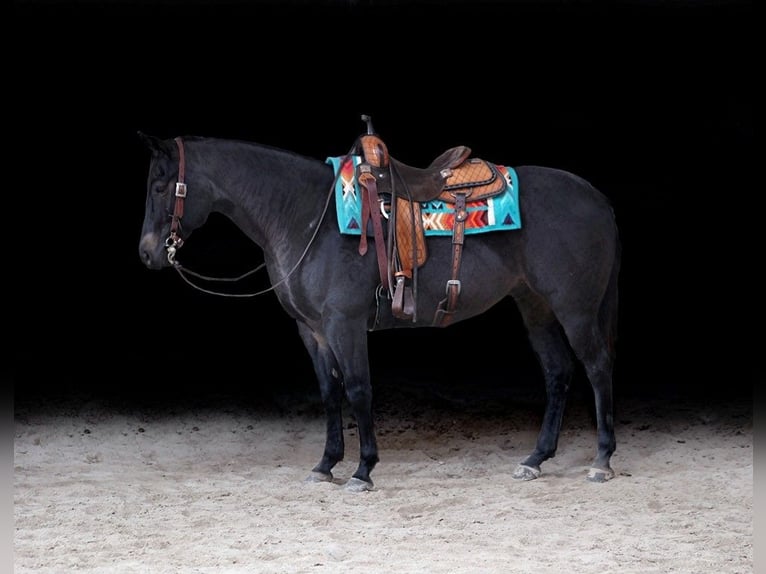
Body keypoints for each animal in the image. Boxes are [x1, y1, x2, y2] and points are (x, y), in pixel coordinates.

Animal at [138, 128, 620, 492]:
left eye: (160, 187)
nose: (146, 253)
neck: (305, 216)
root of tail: (596, 198)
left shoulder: (344, 324)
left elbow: (358, 389)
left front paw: (363, 470)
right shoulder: (312, 330)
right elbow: (329, 393)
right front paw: (325, 465)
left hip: (575, 308)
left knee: (597, 367)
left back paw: (602, 459)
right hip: (535, 305)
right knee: (558, 373)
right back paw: (536, 458)